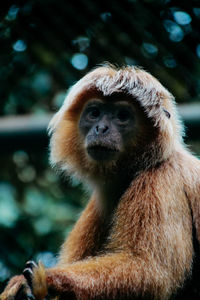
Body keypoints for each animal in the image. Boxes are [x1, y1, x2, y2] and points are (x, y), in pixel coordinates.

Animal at [1, 65, 200, 300]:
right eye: (94, 113)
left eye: (122, 116)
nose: (101, 128)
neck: (143, 165)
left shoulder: (161, 182)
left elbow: (152, 272)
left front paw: (45, 281)